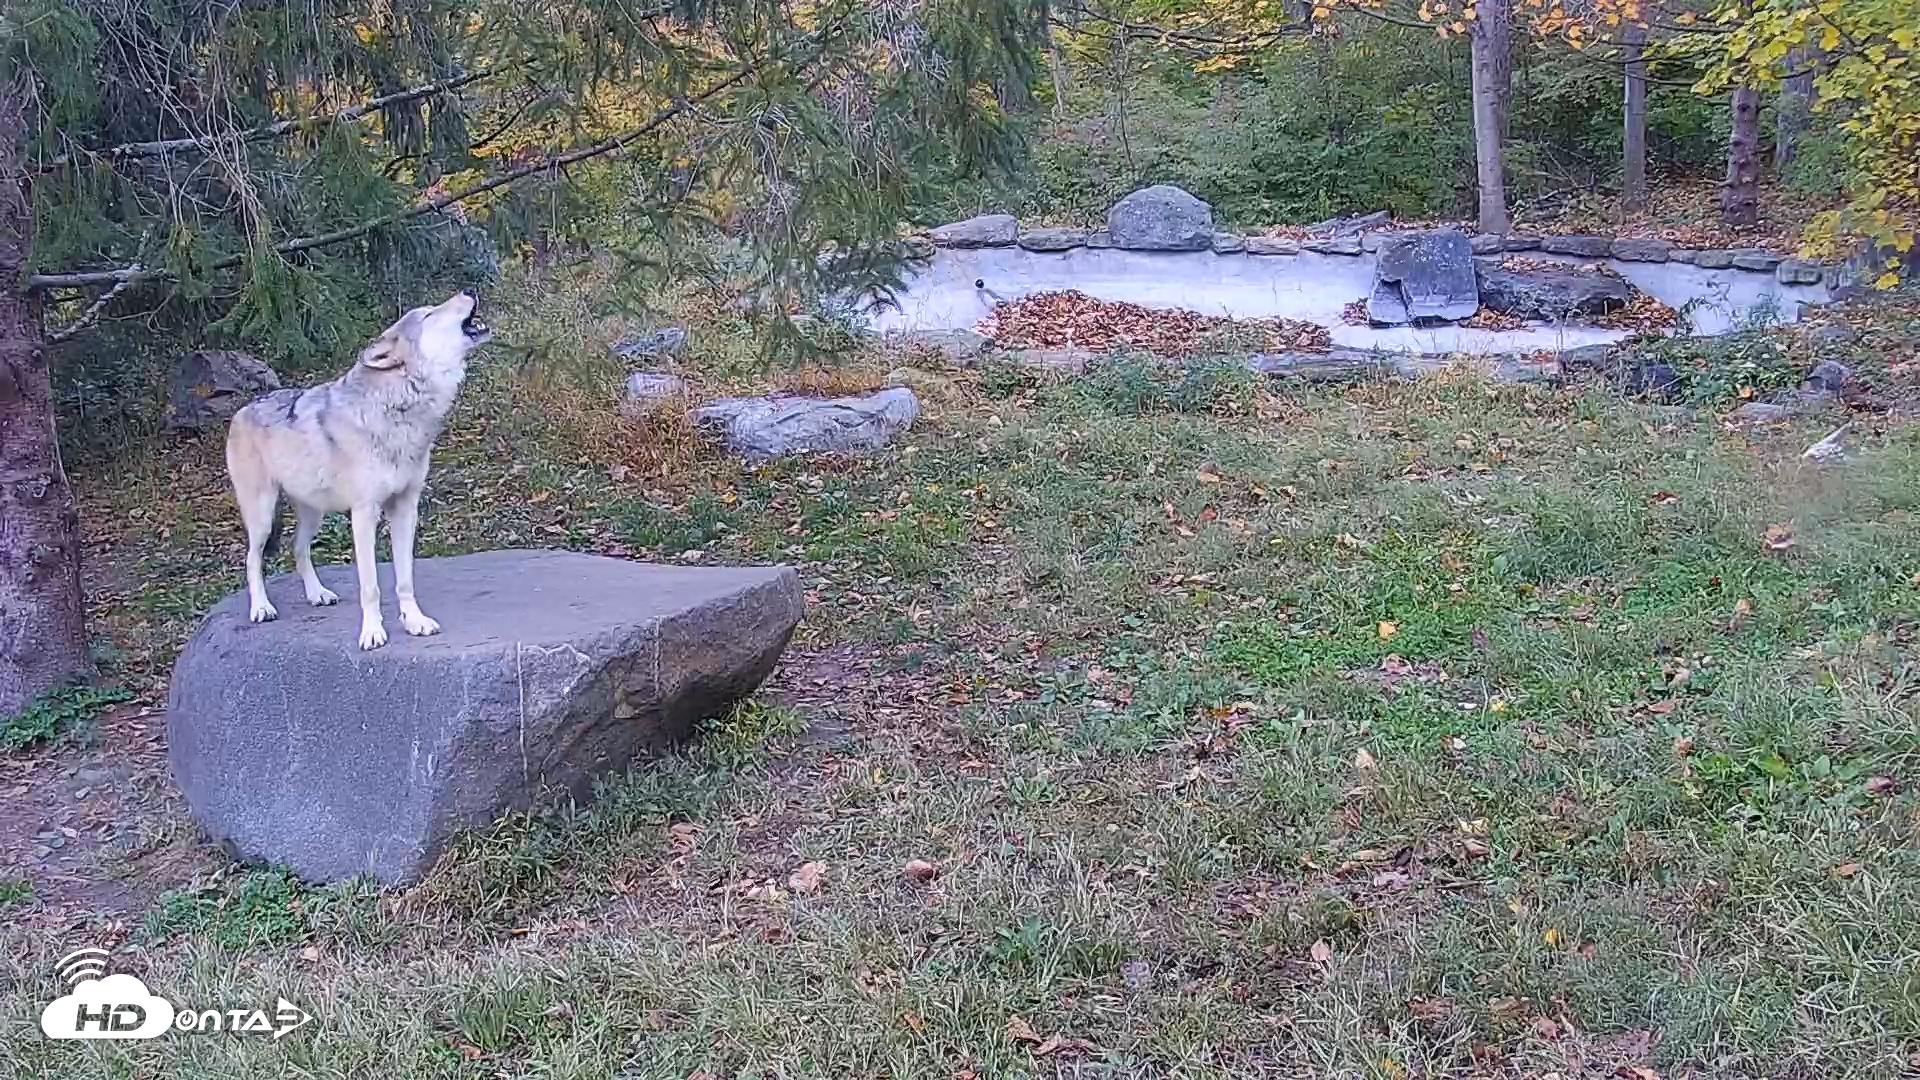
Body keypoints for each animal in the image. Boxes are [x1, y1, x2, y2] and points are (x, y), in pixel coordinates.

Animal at [224, 290, 491, 650]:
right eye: (428, 314)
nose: (469, 291)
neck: (399, 409)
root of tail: (243, 408)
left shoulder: (405, 508)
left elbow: (405, 579)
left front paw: (415, 621)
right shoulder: (364, 513)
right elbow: (371, 586)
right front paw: (373, 632)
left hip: (313, 514)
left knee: (298, 549)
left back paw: (318, 594)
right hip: (263, 516)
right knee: (252, 559)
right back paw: (262, 607)